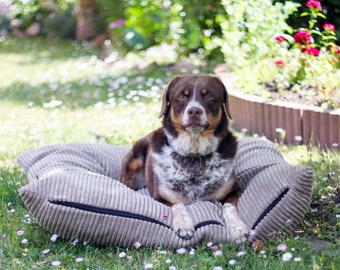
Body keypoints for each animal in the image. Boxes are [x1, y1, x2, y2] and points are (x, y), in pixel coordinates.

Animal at [119, 74, 247, 243]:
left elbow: (228, 207)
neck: (194, 155)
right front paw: (184, 225)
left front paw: (238, 228)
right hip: (134, 159)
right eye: (181, 96)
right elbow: (178, 205)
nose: (194, 111)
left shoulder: (235, 190)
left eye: (209, 95)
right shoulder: (160, 197)